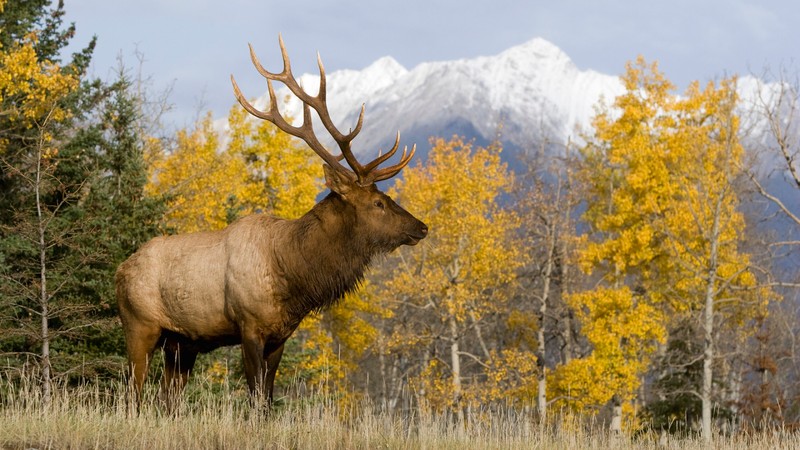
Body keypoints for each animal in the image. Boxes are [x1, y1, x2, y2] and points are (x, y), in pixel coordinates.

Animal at [115, 36, 428, 408]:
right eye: (378, 202)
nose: (421, 226)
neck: (294, 275)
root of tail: (120, 271)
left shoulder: (281, 335)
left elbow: (267, 397)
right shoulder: (249, 326)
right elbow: (255, 397)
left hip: (181, 343)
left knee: (168, 399)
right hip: (139, 324)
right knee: (132, 393)